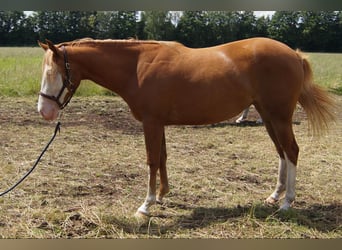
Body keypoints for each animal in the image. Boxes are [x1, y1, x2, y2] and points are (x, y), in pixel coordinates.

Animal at [36, 37, 334, 217]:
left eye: (52, 72)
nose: (44, 111)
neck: (137, 67)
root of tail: (294, 54)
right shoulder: (158, 122)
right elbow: (163, 158)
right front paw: (162, 195)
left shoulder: (151, 122)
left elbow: (151, 161)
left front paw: (146, 205)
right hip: (269, 116)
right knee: (282, 152)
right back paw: (274, 196)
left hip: (280, 117)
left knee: (291, 151)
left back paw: (287, 202)